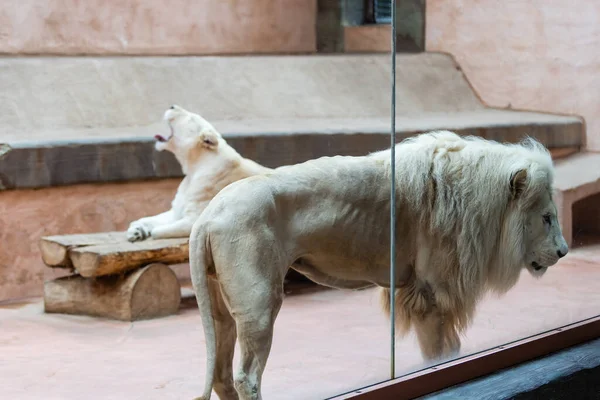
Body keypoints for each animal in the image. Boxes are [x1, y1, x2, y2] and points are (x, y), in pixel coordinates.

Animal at [126, 104, 272, 242]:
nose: (172, 106)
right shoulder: (177, 208)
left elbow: (158, 231)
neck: (193, 169)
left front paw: (145, 232)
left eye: (190, 118)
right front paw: (135, 230)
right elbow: (155, 218)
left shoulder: (196, 219)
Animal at [188, 130, 568, 398]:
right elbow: (441, 353)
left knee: (221, 375)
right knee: (246, 377)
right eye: (547, 218)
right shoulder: (430, 294)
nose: (564, 252)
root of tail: (207, 216)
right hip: (258, 303)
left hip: (221, 307)